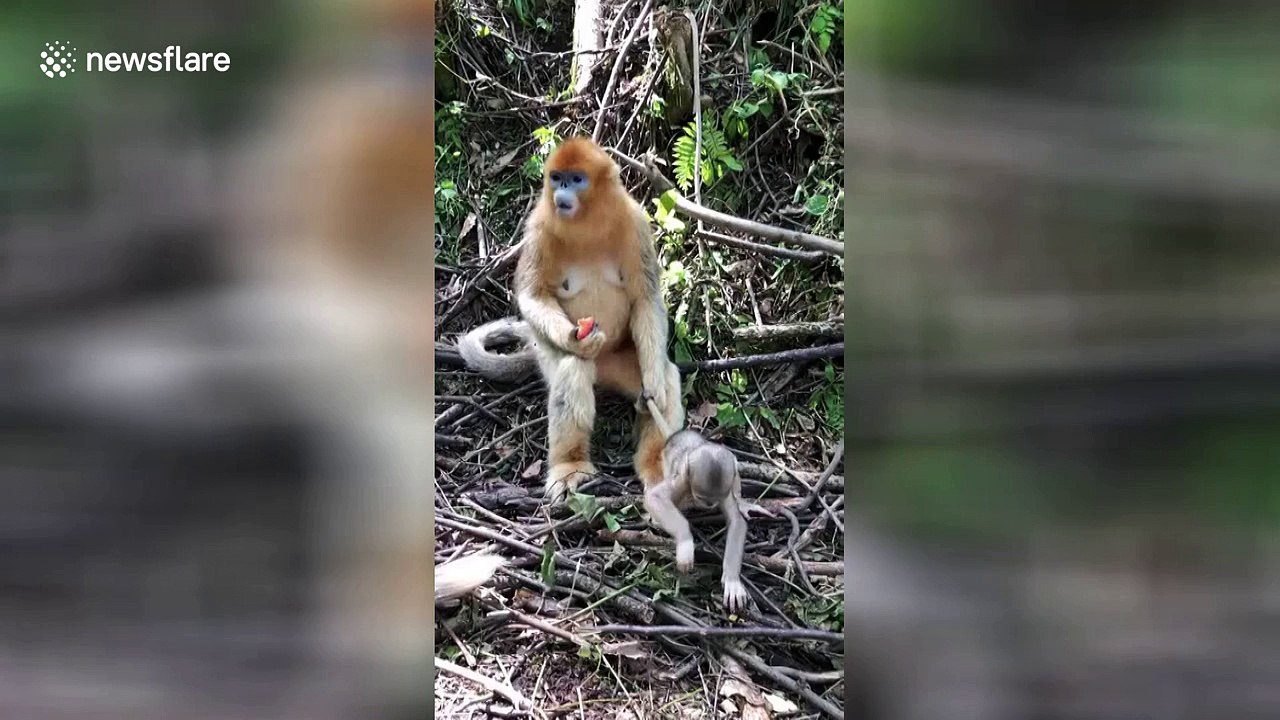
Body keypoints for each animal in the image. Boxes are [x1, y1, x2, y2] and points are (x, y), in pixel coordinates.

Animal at [457, 137, 684, 503]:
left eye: (576, 179)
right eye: (557, 178)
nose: (562, 192)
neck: (586, 225)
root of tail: (603, 372)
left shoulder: (635, 222)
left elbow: (645, 298)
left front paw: (652, 384)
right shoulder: (538, 227)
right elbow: (533, 296)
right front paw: (575, 338)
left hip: (620, 360)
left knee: (668, 377)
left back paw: (656, 469)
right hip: (553, 358)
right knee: (572, 370)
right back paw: (569, 467)